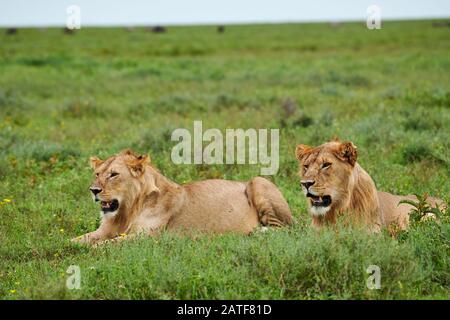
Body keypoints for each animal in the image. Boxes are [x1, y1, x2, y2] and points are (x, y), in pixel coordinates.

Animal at [72, 150, 294, 245]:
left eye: (114, 174)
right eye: (97, 174)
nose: (93, 190)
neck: (126, 211)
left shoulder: (148, 236)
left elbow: (106, 244)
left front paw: (94, 249)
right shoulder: (104, 229)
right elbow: (75, 240)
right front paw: (70, 245)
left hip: (258, 181)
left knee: (286, 229)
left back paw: (257, 232)